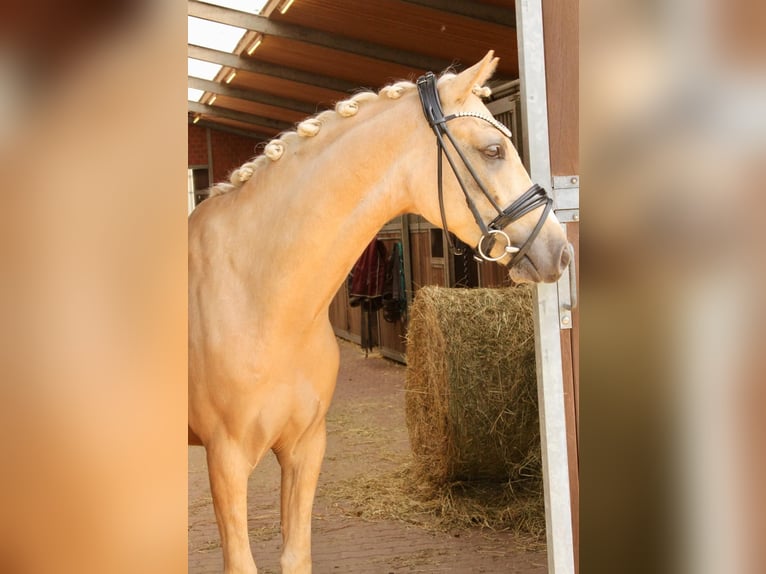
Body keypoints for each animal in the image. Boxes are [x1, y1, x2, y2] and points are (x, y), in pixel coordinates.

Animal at [188, 51, 571, 574]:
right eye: (494, 150)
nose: (560, 251)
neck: (258, 294)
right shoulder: (225, 461)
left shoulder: (305, 449)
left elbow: (296, 556)